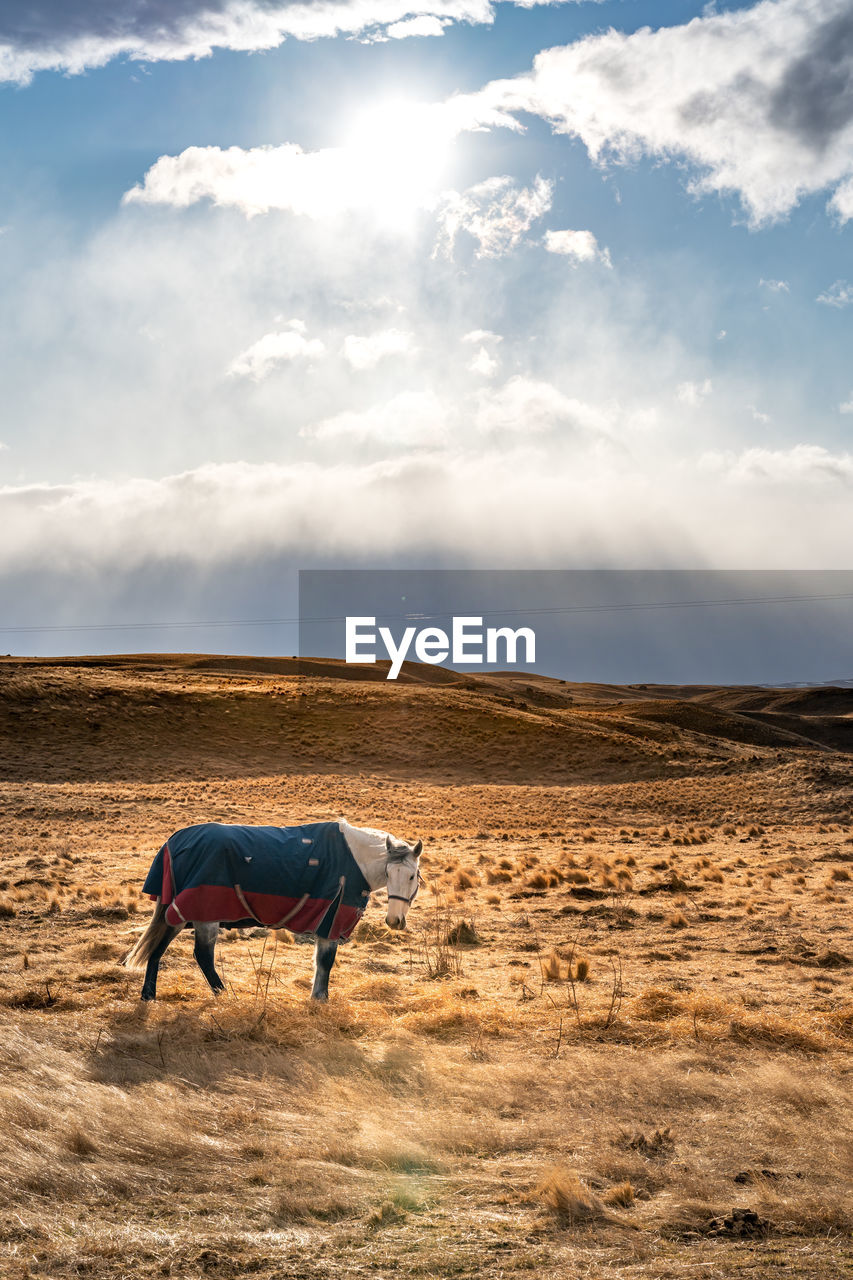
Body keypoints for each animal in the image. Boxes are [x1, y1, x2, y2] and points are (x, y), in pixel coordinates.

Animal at [122, 814, 422, 1003]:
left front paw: (316, 997)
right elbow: (326, 962)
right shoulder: (332, 921)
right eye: (393, 873)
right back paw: (223, 994)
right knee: (203, 956)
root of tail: (175, 841)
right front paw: (321, 999)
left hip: (182, 916)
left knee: (158, 949)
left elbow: (319, 962)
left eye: (411, 876)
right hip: (205, 914)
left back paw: (149, 994)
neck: (354, 860)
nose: (394, 921)